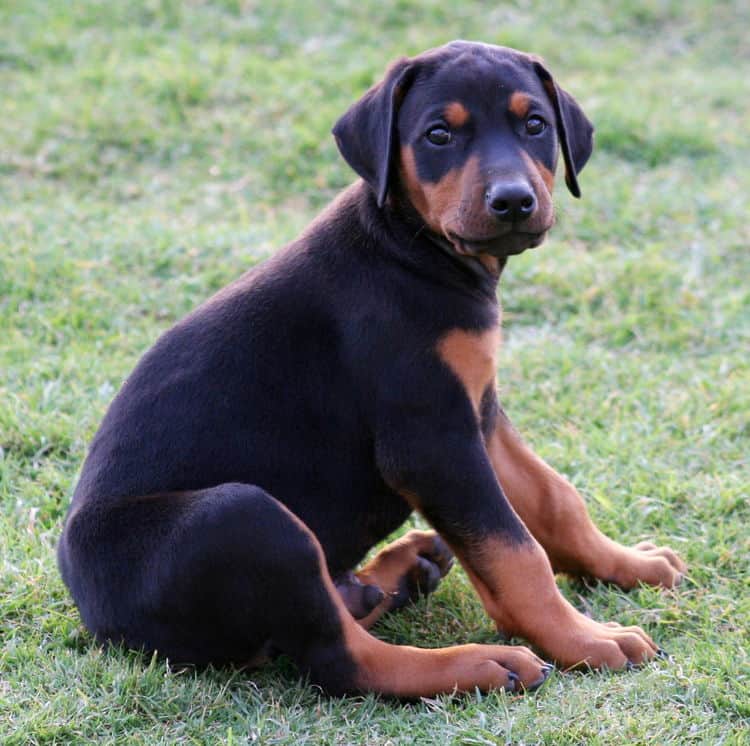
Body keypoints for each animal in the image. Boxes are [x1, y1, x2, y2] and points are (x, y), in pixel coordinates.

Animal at [58, 40, 688, 696]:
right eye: (439, 134)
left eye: (534, 124)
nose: (514, 201)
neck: (412, 249)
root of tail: (101, 624)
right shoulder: (429, 440)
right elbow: (513, 549)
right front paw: (583, 639)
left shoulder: (478, 412)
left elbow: (553, 498)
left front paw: (627, 565)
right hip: (242, 514)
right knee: (339, 659)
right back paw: (477, 661)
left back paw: (398, 573)